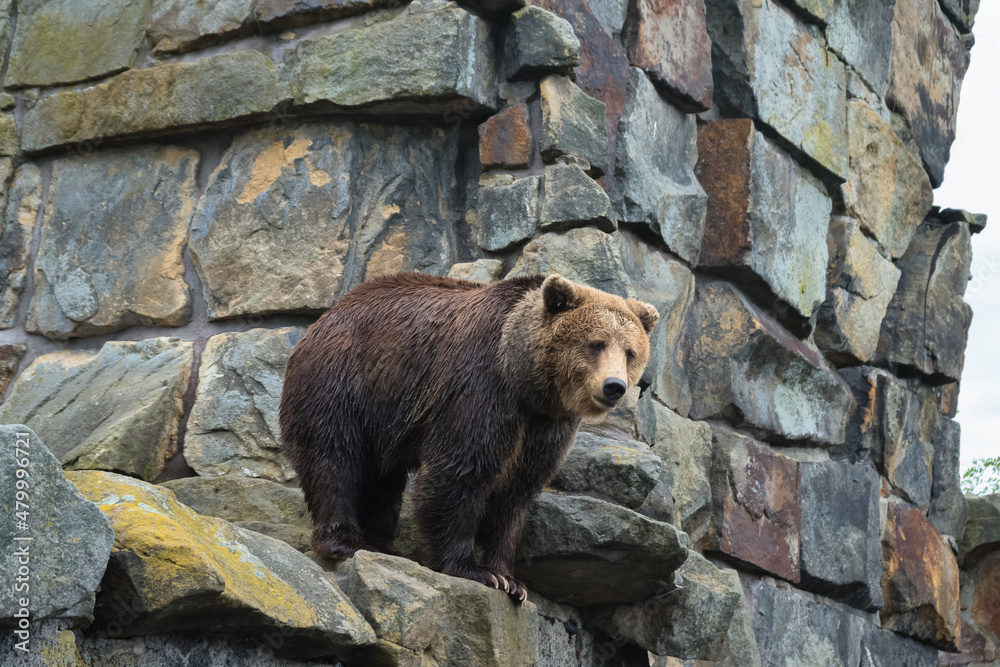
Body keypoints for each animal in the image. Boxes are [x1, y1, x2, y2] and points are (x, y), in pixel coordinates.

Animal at [279, 272, 658, 603]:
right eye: (596, 343)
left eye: (630, 352)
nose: (614, 386)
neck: (526, 380)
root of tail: (324, 317)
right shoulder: (481, 388)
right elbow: (461, 470)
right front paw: (474, 569)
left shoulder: (546, 427)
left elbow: (516, 493)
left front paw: (509, 577)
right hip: (345, 382)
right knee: (335, 459)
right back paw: (346, 542)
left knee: (383, 479)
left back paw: (382, 543)